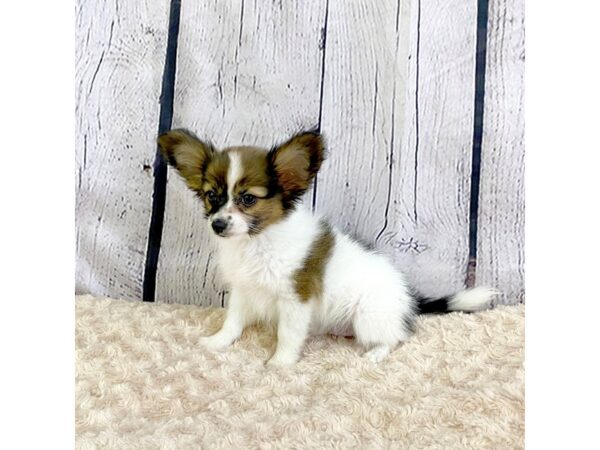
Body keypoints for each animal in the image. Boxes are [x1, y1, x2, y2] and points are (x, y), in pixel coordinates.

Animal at [156, 128, 496, 364]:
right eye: (211, 196)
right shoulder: (243, 289)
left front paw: (279, 364)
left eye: (248, 199)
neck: (257, 240)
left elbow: (288, 335)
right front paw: (217, 343)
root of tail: (409, 299)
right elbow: (233, 321)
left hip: (369, 316)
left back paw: (375, 355)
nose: (218, 224)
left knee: (397, 338)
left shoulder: (295, 299)